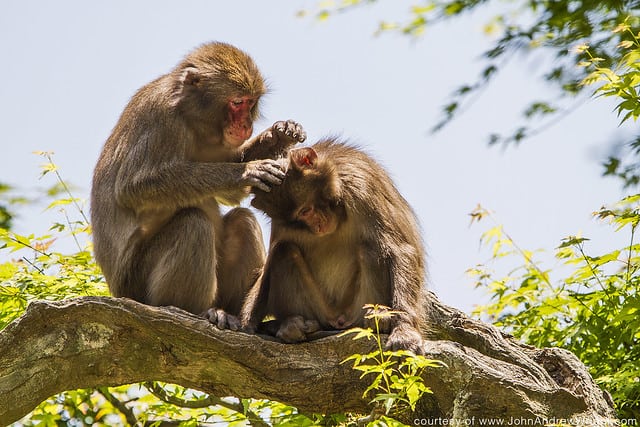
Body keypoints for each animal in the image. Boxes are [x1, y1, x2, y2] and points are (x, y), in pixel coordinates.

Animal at [90, 41, 308, 328]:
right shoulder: (162, 117)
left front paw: (280, 133)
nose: (246, 124)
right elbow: (134, 187)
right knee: (193, 224)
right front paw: (248, 171)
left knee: (243, 221)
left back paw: (231, 314)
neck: (188, 114)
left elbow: (232, 192)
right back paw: (193, 310)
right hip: (135, 284)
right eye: (237, 102)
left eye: (250, 103)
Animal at [242, 138, 428, 354]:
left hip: (356, 311)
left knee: (372, 249)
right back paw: (290, 324)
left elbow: (400, 250)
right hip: (321, 312)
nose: (317, 227)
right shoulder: (281, 224)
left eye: (306, 210)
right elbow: (269, 263)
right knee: (284, 251)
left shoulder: (362, 188)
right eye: (297, 219)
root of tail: (338, 321)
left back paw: (379, 317)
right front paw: (246, 324)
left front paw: (405, 332)